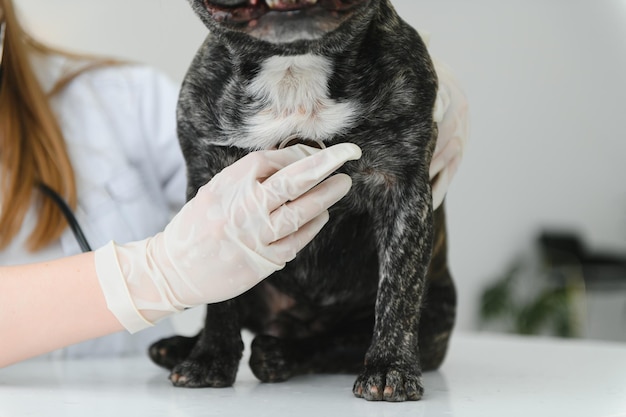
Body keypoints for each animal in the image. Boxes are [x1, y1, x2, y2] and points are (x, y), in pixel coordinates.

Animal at [149, 0, 456, 400]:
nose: (391, 366)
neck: (293, 68)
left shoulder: (403, 190)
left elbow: (398, 292)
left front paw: (391, 367)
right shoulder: (209, 186)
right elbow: (219, 298)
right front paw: (210, 359)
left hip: (434, 315)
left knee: (336, 345)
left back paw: (279, 355)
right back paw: (182, 347)